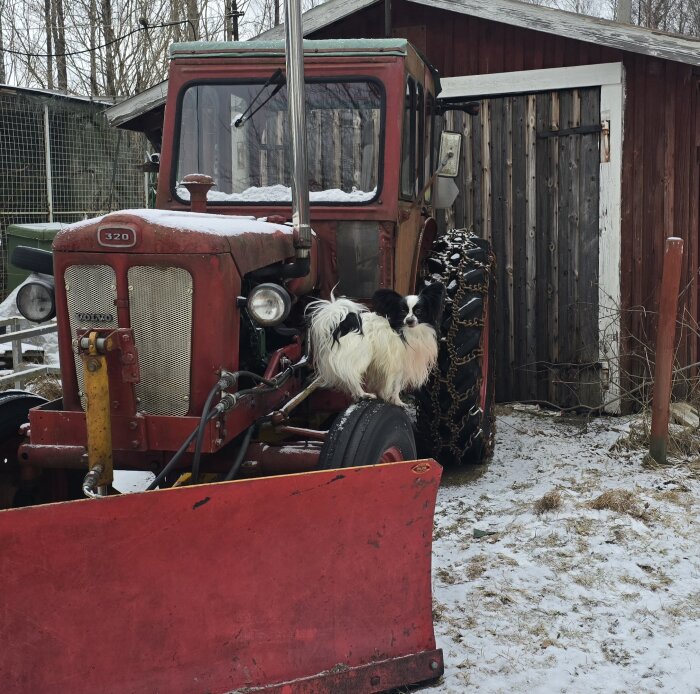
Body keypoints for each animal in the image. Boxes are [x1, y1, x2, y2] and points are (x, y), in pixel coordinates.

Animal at [308, 284, 446, 408]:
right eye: (403, 311)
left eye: (418, 311)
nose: (409, 320)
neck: (408, 333)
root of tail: (342, 324)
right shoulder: (397, 364)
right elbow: (396, 386)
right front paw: (397, 401)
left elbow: (393, 385)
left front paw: (390, 398)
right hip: (360, 356)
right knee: (351, 376)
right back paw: (363, 394)